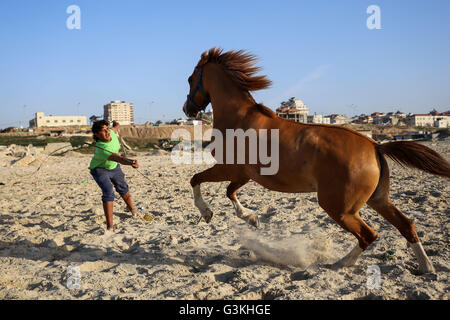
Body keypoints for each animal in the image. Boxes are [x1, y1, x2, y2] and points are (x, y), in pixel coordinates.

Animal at [182, 47, 450, 272]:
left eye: (190, 79)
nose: (187, 109)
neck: (239, 119)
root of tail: (375, 146)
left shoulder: (231, 169)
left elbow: (197, 179)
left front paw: (208, 212)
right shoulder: (245, 175)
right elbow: (229, 192)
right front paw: (251, 217)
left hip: (339, 208)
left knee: (369, 235)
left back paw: (341, 263)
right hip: (377, 200)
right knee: (406, 225)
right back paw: (427, 268)